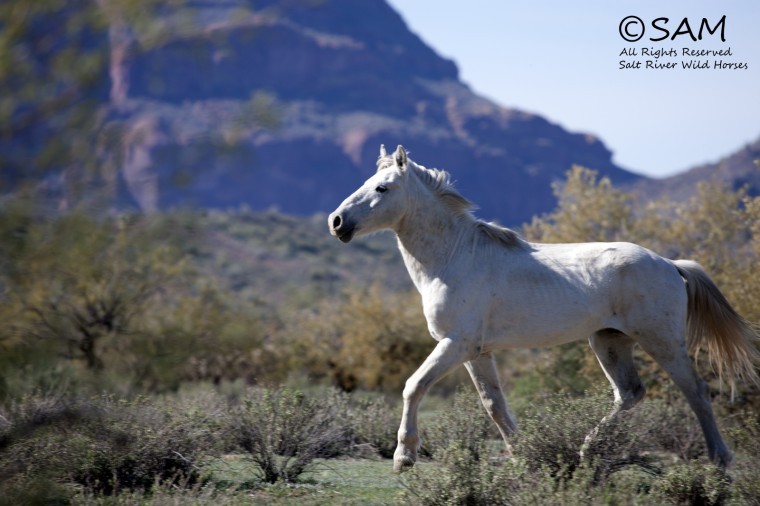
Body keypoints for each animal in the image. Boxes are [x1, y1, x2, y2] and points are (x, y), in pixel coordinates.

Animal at [328, 144, 759, 472]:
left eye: (382, 188)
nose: (337, 222)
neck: (454, 257)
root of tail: (670, 264)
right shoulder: (476, 352)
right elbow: (495, 406)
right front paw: (524, 455)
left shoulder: (455, 344)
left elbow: (413, 386)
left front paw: (404, 457)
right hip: (609, 341)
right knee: (630, 394)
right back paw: (586, 450)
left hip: (662, 340)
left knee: (696, 391)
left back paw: (719, 461)